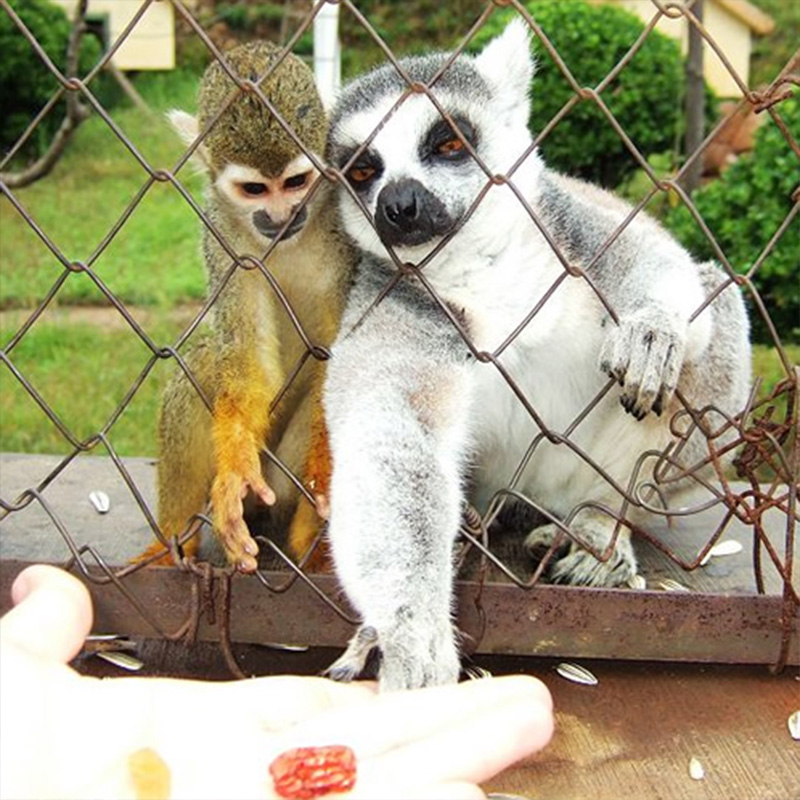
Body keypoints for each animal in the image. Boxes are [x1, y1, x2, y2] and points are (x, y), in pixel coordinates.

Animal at [140, 40, 350, 572]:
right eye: (255, 189)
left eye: (296, 183)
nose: (282, 216)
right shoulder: (222, 237)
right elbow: (244, 356)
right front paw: (234, 471)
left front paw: (324, 483)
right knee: (199, 366)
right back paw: (172, 543)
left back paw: (311, 541)